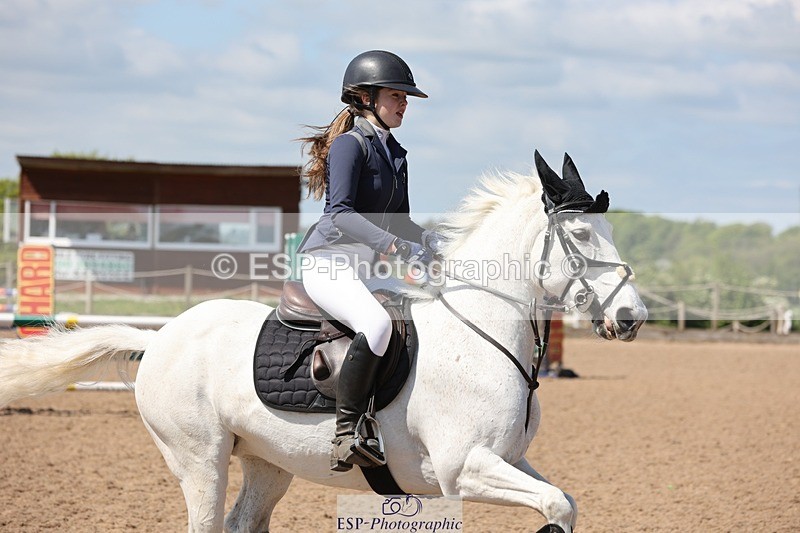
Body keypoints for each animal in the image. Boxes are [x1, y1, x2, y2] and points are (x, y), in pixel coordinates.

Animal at [0, 151, 647, 533]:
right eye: (582, 234)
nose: (632, 316)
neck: (481, 332)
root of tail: (162, 337)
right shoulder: (464, 467)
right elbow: (558, 504)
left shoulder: (509, 459)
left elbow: (563, 500)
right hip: (198, 458)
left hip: (267, 461)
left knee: (242, 521)